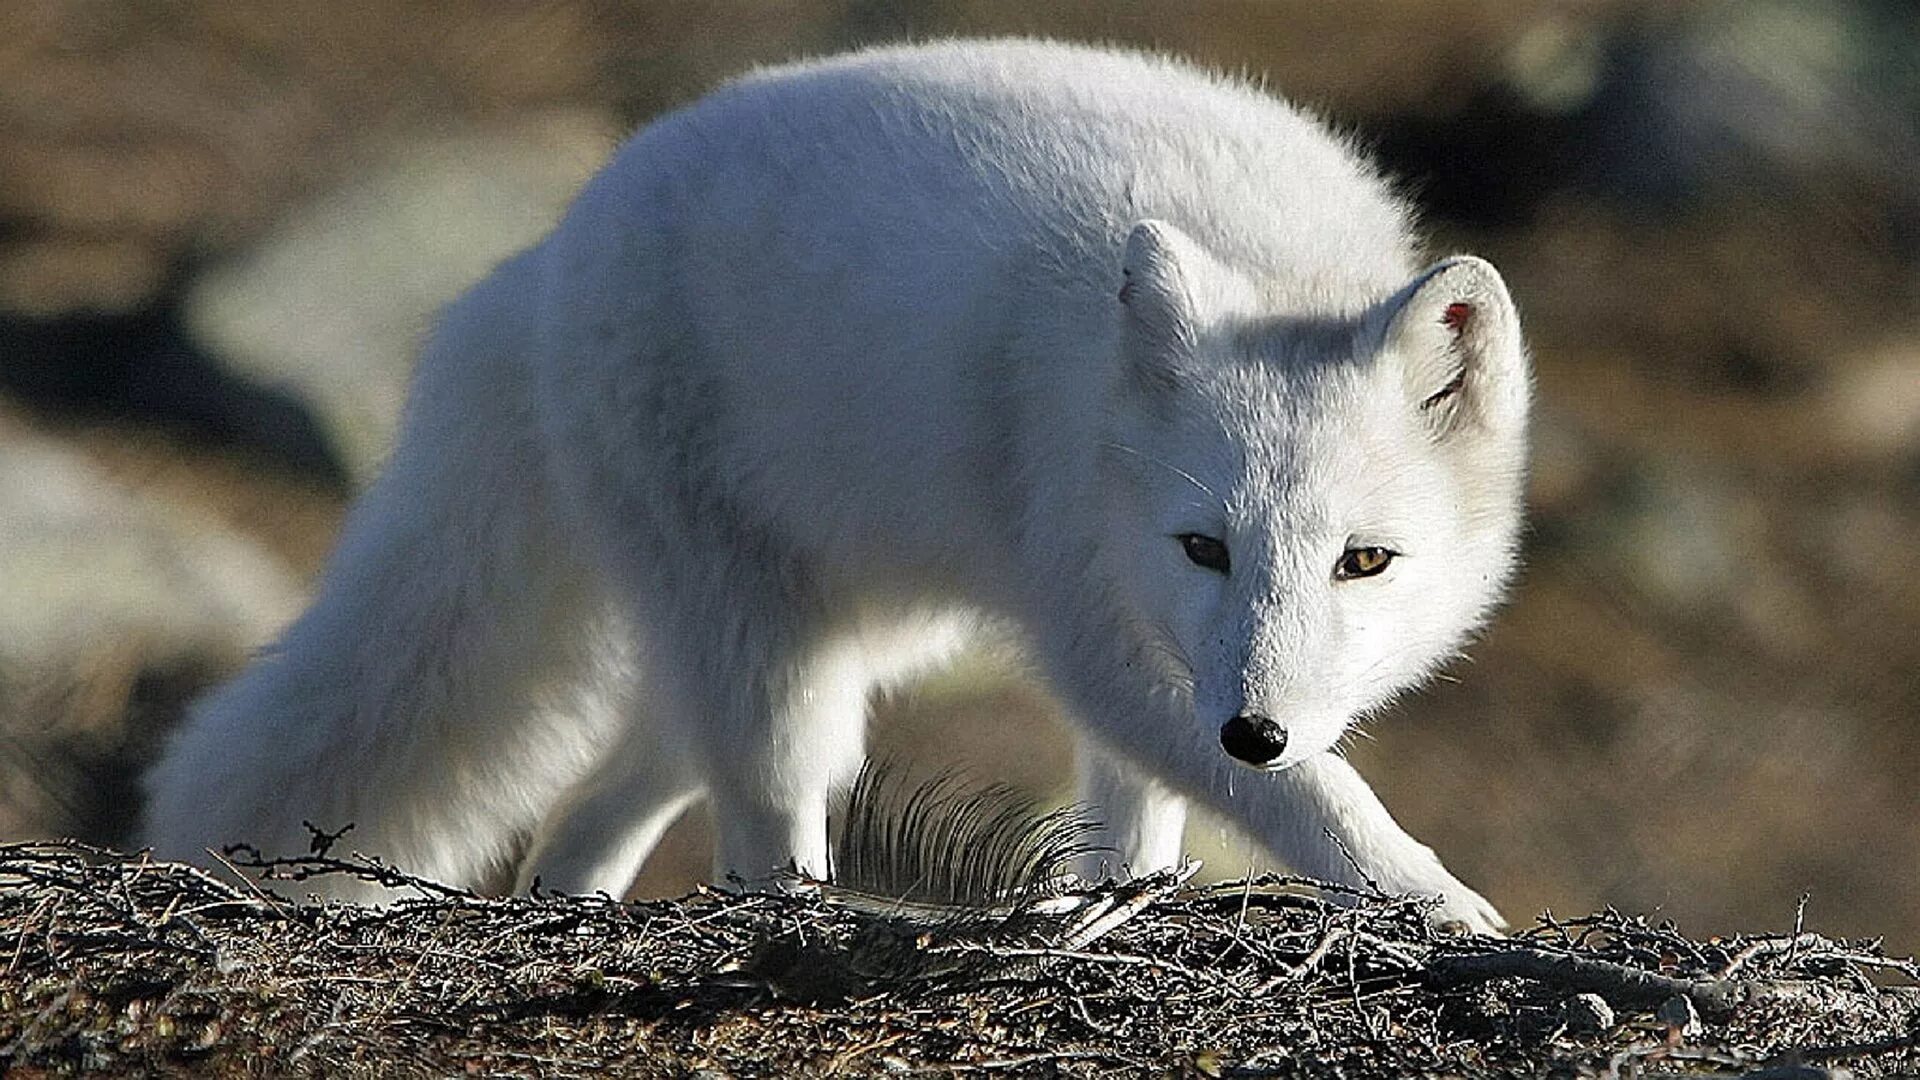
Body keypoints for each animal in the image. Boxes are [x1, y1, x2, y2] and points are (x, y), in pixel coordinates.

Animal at [142, 35, 1528, 926]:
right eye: (1207, 547)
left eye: (1363, 561)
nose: (1255, 728)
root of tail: (547, 253)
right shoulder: (1098, 628)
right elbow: (1318, 803)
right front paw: (1446, 910)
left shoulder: (1141, 649)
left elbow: (1141, 819)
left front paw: (1118, 906)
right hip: (769, 656)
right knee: (757, 824)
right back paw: (783, 921)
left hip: (836, 642)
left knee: (593, 810)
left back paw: (571, 914)